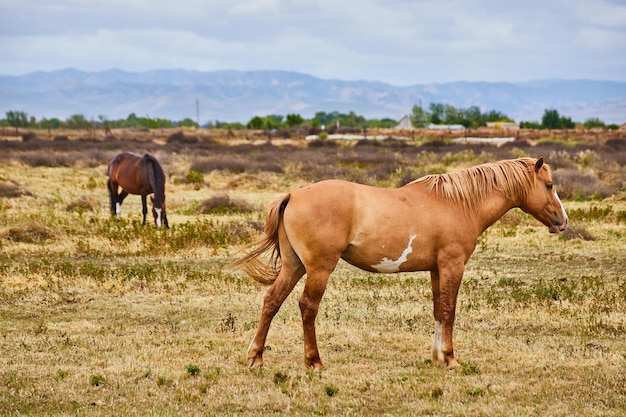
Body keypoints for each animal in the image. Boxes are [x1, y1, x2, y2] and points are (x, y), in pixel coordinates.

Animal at [233, 156, 564, 368]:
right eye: (549, 185)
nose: (563, 221)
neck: (457, 203)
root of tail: (293, 194)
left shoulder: (436, 269)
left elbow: (438, 310)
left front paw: (437, 357)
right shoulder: (452, 265)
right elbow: (450, 310)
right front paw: (450, 358)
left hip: (294, 266)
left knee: (272, 301)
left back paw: (256, 357)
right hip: (318, 269)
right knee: (307, 307)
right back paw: (314, 362)